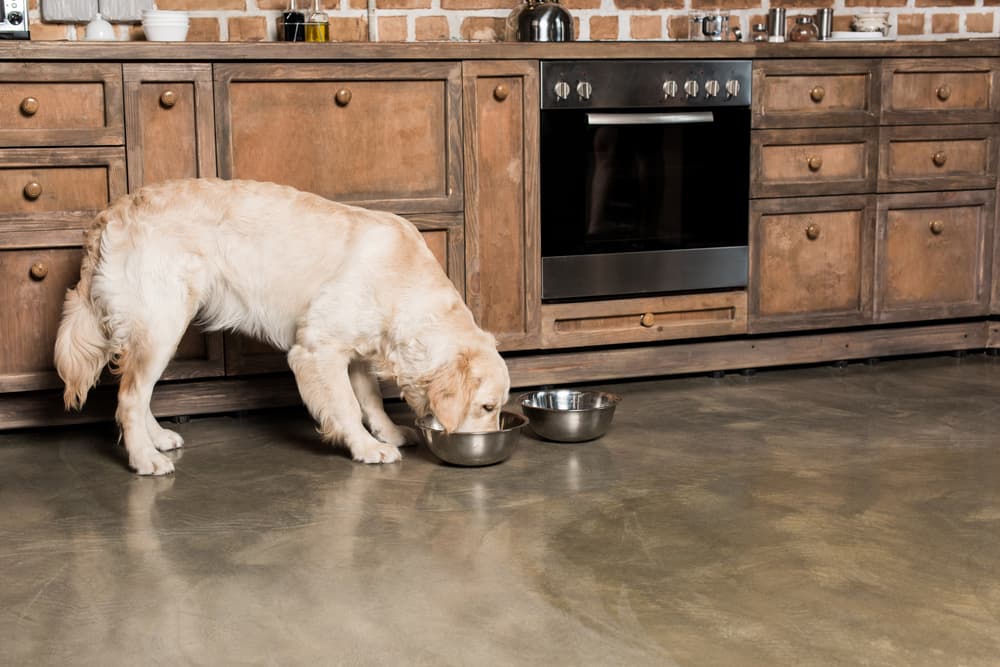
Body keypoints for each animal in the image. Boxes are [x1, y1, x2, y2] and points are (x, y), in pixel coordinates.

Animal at [53, 177, 508, 474]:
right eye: (488, 407)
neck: (401, 278)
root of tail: (113, 212)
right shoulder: (316, 350)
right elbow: (346, 405)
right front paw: (365, 448)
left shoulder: (357, 351)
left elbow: (371, 401)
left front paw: (389, 433)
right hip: (162, 323)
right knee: (130, 396)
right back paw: (144, 458)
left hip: (160, 329)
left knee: (135, 391)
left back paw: (158, 439)